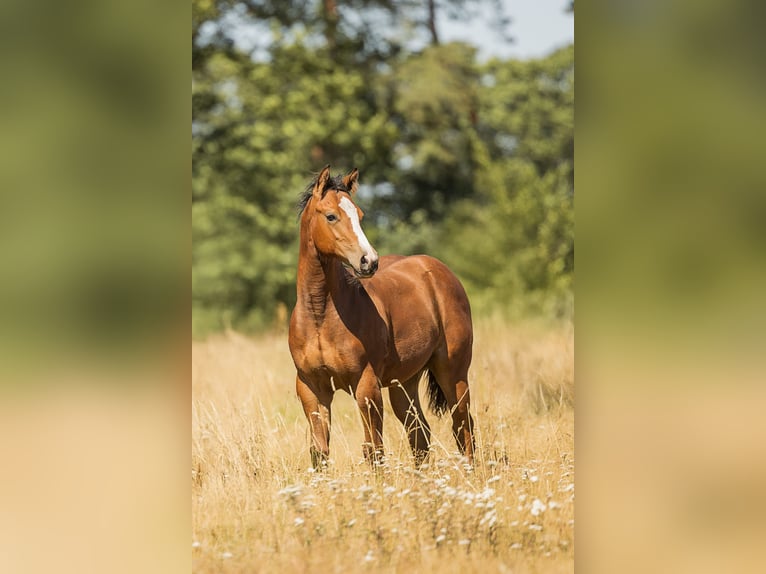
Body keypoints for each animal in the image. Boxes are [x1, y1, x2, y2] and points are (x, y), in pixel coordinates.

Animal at [288, 165, 475, 469]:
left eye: (360, 215)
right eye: (331, 216)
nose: (369, 261)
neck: (320, 317)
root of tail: (437, 269)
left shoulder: (366, 386)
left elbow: (373, 450)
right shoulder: (311, 389)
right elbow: (320, 453)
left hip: (453, 372)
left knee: (463, 427)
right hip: (404, 384)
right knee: (420, 433)